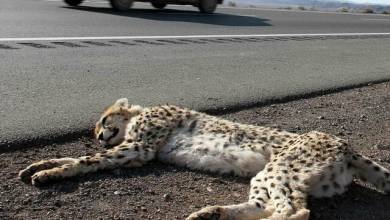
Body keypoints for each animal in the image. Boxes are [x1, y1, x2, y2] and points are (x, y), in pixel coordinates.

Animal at [19, 98, 390, 220]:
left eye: (103, 120)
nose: (98, 134)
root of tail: (345, 143)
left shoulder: (139, 149)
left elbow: (84, 159)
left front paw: (50, 172)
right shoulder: (133, 154)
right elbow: (85, 157)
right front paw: (39, 167)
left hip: (280, 169)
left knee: (293, 212)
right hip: (276, 176)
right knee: (267, 205)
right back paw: (211, 213)